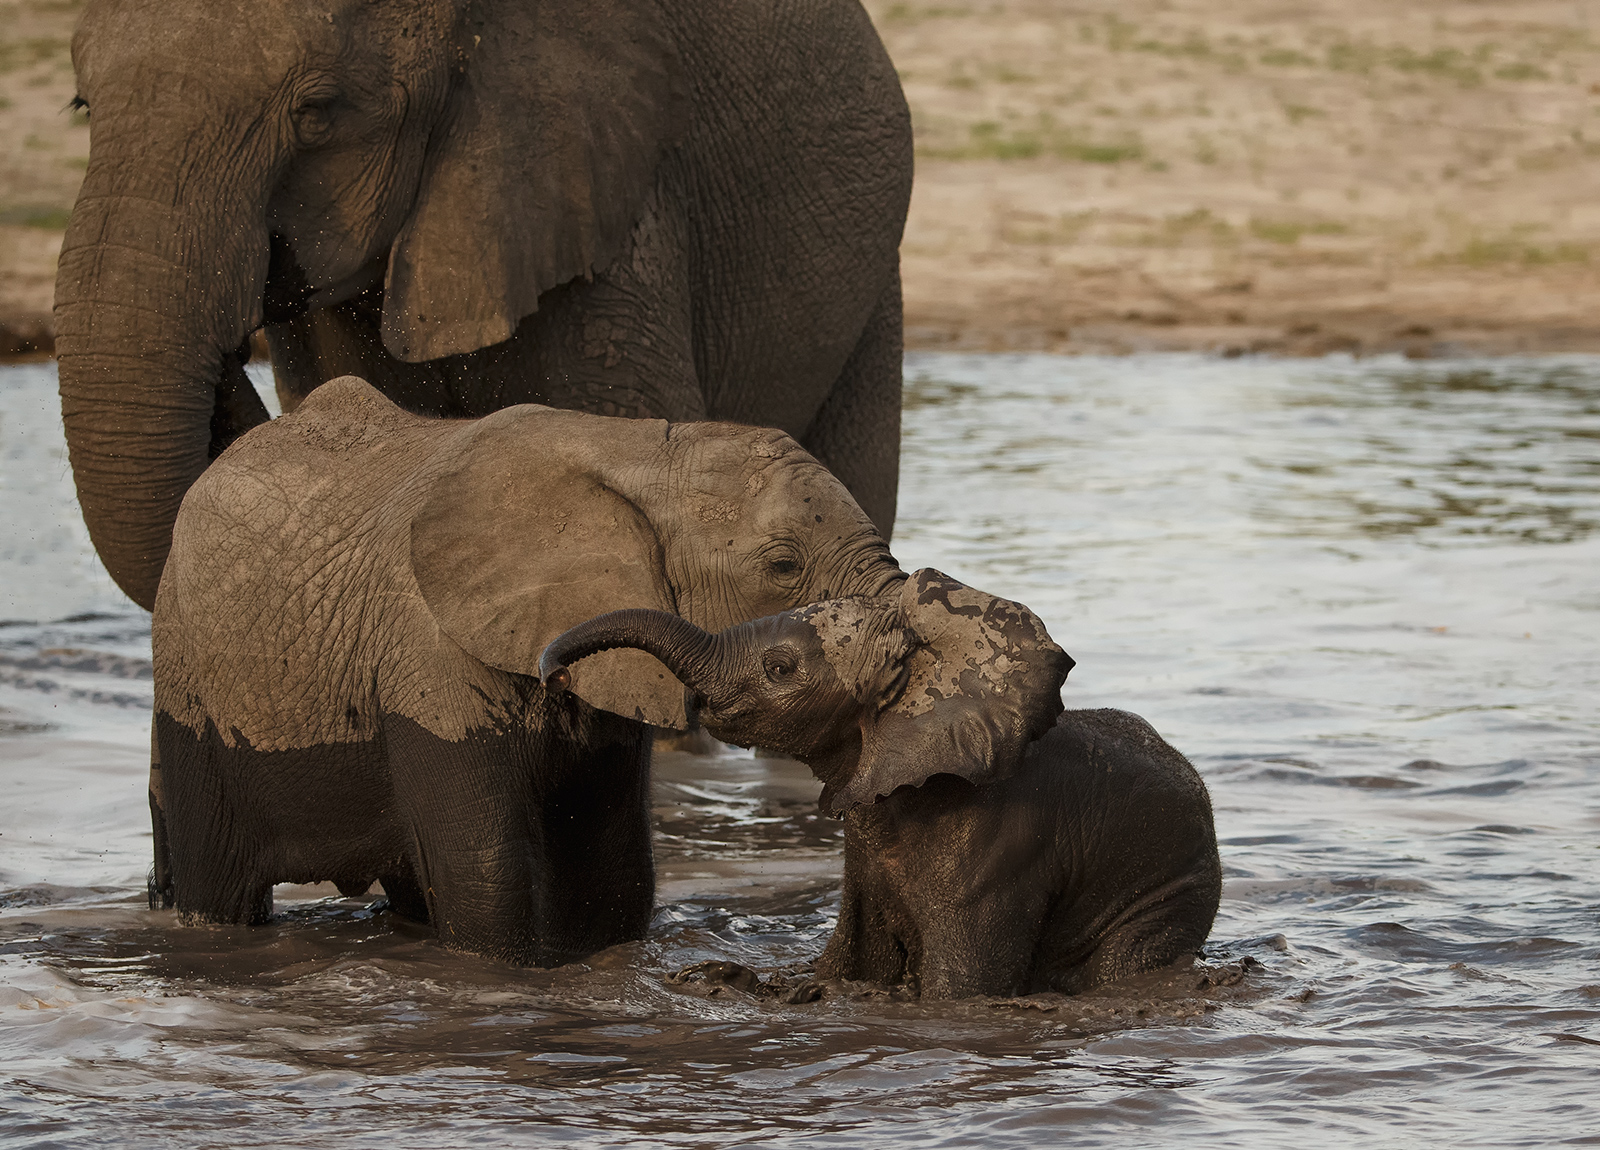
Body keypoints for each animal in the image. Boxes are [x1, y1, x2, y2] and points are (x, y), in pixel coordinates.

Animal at [150, 377, 1064, 967]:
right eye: (781, 566)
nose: (554, 663)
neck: (636, 450)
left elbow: (614, 877)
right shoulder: (427, 650)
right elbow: (488, 880)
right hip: (188, 683)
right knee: (215, 880)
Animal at [540, 572, 1224, 998]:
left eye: (780, 668)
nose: (553, 678)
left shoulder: (1000, 858)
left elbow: (960, 992)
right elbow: (858, 963)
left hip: (1170, 890)